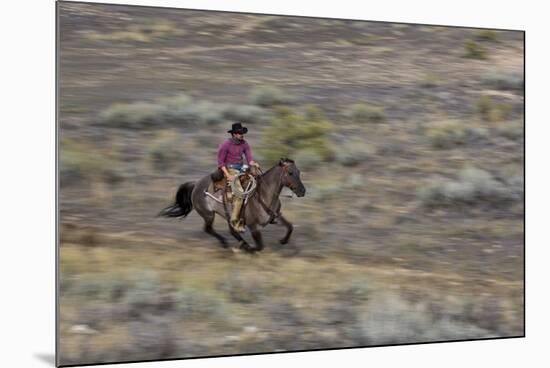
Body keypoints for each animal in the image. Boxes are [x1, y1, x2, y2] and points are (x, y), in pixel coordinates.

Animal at [160, 157, 306, 252]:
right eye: (290, 173)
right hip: (208, 214)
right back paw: (228, 244)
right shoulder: (253, 226)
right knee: (208, 229)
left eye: (299, 172)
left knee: (230, 230)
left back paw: (240, 244)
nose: (302, 191)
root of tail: (196, 184)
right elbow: (259, 246)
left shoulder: (275, 217)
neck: (264, 194)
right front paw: (250, 249)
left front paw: (283, 241)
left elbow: (290, 226)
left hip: (227, 215)